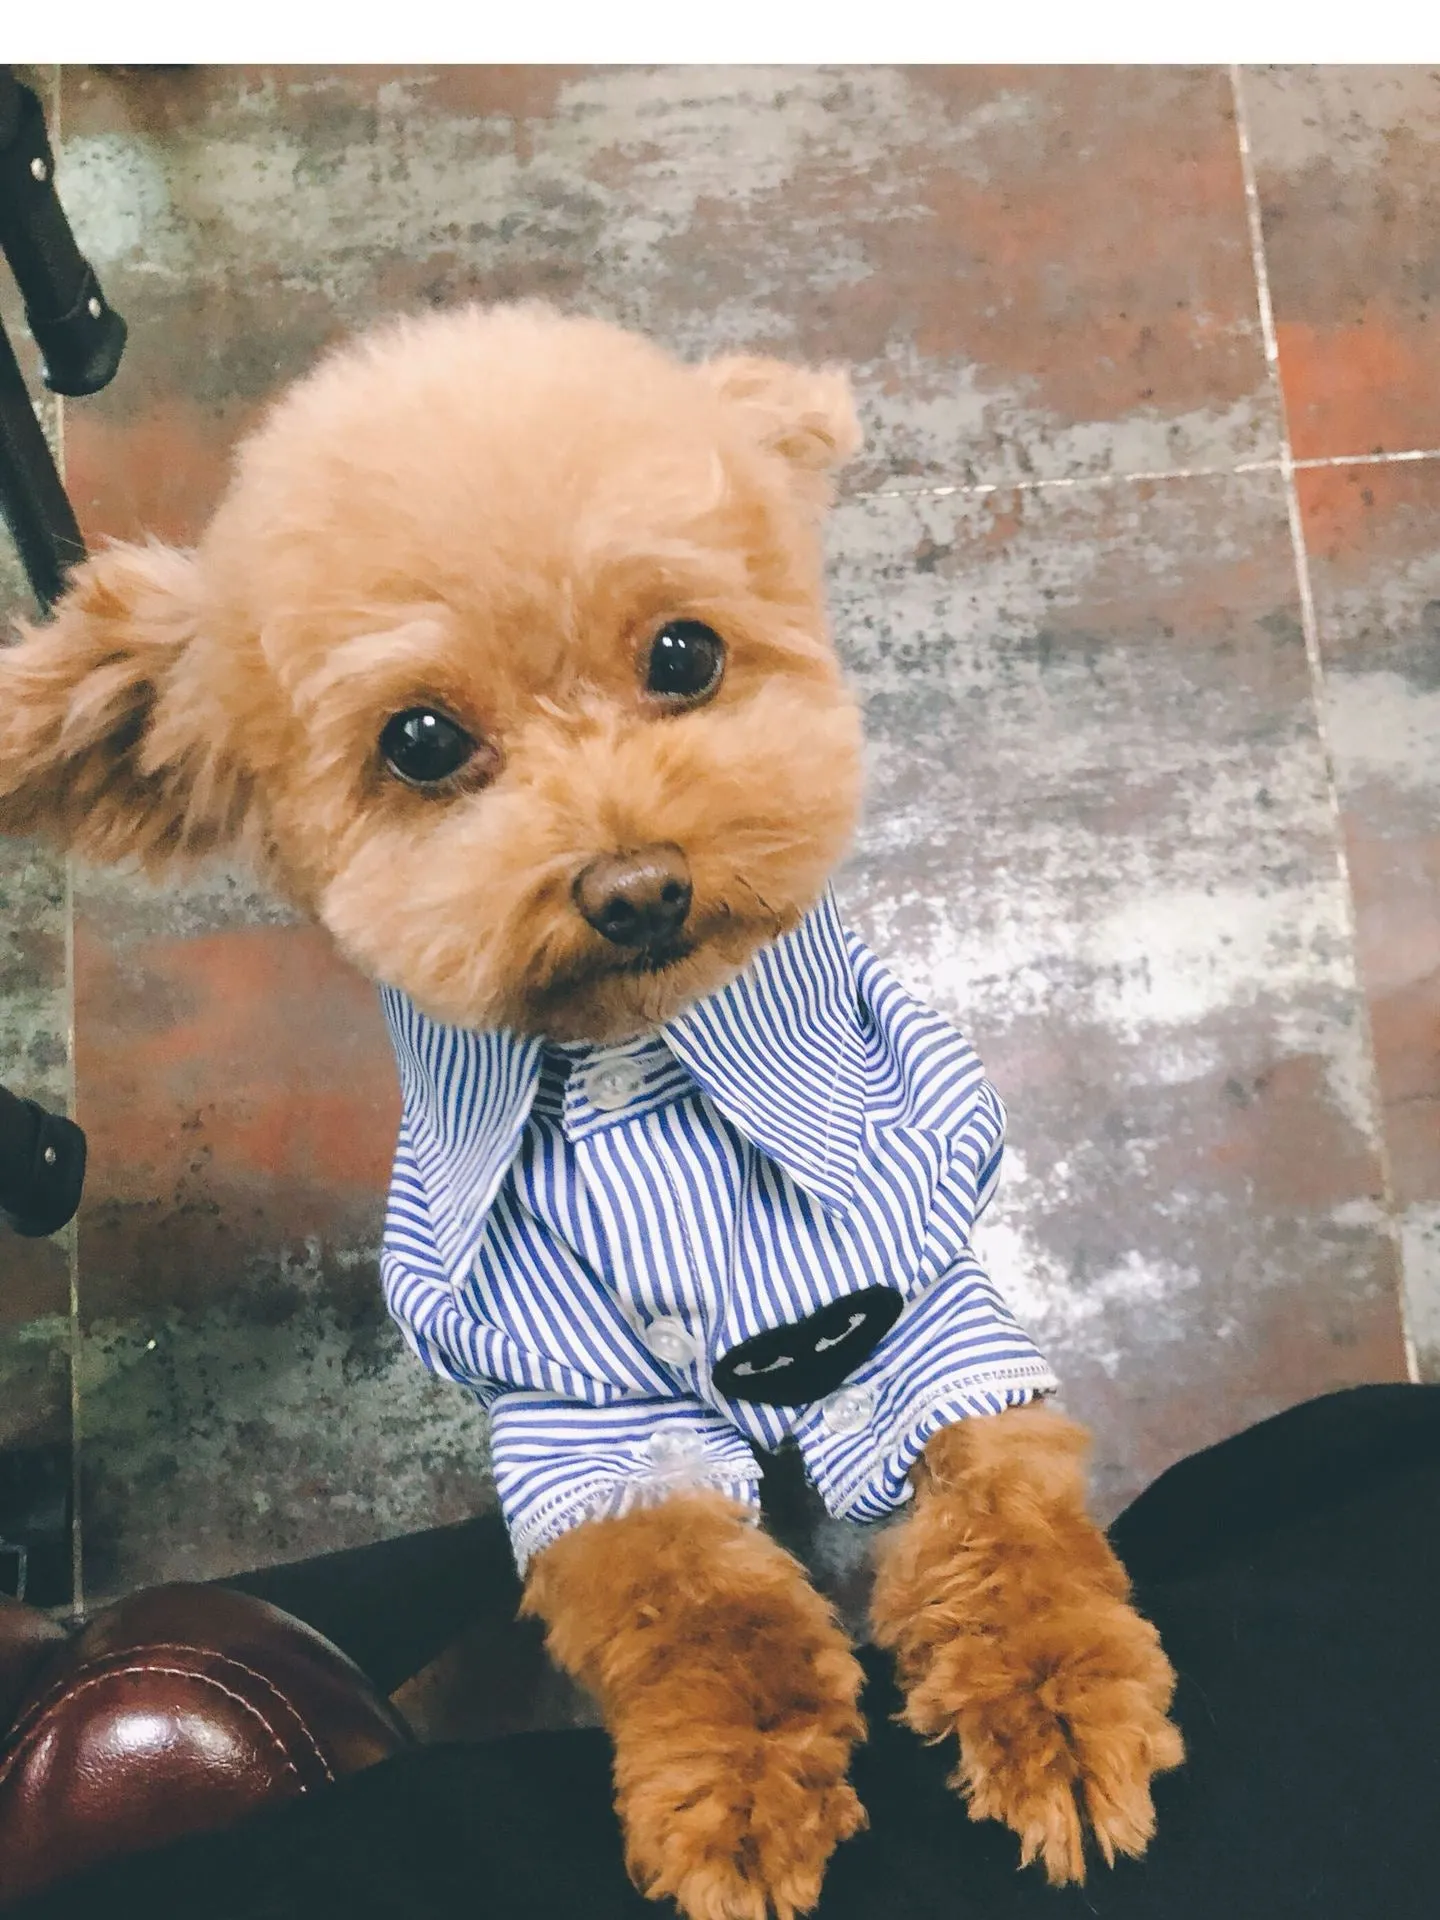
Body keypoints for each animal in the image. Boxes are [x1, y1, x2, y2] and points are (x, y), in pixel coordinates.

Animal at [0, 303, 1182, 1920]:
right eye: (422, 742)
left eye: (684, 653)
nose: (637, 886)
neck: (646, 1078)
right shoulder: (585, 1423)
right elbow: (700, 1612)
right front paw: (739, 1798)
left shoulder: (916, 1314)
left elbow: (1005, 1528)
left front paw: (1059, 1713)